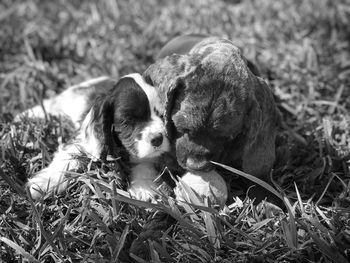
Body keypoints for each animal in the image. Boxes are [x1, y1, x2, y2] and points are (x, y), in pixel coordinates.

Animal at [18, 73, 170, 201]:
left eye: (163, 116)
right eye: (128, 120)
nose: (158, 139)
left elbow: (145, 164)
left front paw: (143, 189)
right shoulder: (82, 142)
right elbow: (66, 161)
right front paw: (43, 184)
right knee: (51, 104)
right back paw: (24, 115)